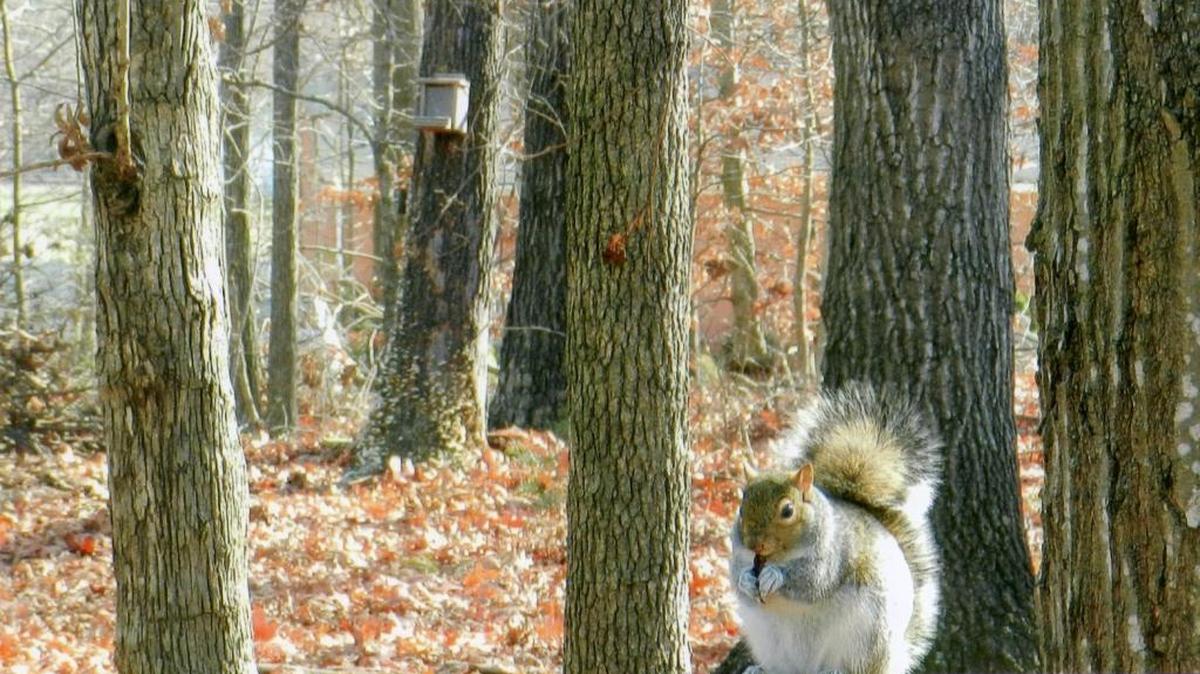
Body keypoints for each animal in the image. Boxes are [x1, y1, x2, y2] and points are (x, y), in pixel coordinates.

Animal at [730, 384, 942, 674]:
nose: (754, 544)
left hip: (865, 638)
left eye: (787, 511)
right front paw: (746, 581)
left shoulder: (834, 553)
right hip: (767, 639)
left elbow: (814, 581)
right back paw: (760, 669)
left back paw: (836, 669)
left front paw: (775, 576)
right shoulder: (739, 556)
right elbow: (736, 578)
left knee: (861, 667)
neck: (779, 556)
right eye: (741, 507)